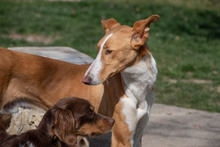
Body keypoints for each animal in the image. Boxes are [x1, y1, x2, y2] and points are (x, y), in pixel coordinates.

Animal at [0, 14, 159, 146]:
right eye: (98, 49)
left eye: (109, 51)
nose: (86, 80)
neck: (138, 86)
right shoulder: (122, 138)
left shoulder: (136, 136)